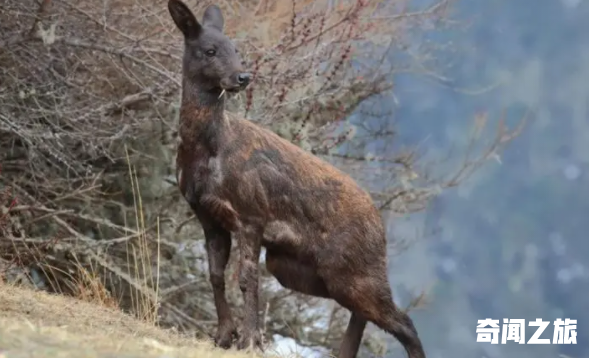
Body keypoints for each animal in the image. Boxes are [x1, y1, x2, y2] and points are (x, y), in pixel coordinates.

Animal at [168, 0, 424, 358]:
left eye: (237, 49)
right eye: (210, 50)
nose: (242, 77)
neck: (208, 151)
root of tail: (380, 224)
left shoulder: (252, 213)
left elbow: (246, 279)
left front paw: (249, 341)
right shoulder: (207, 215)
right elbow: (216, 275)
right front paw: (224, 336)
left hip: (356, 269)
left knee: (403, 322)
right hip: (299, 268)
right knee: (363, 314)